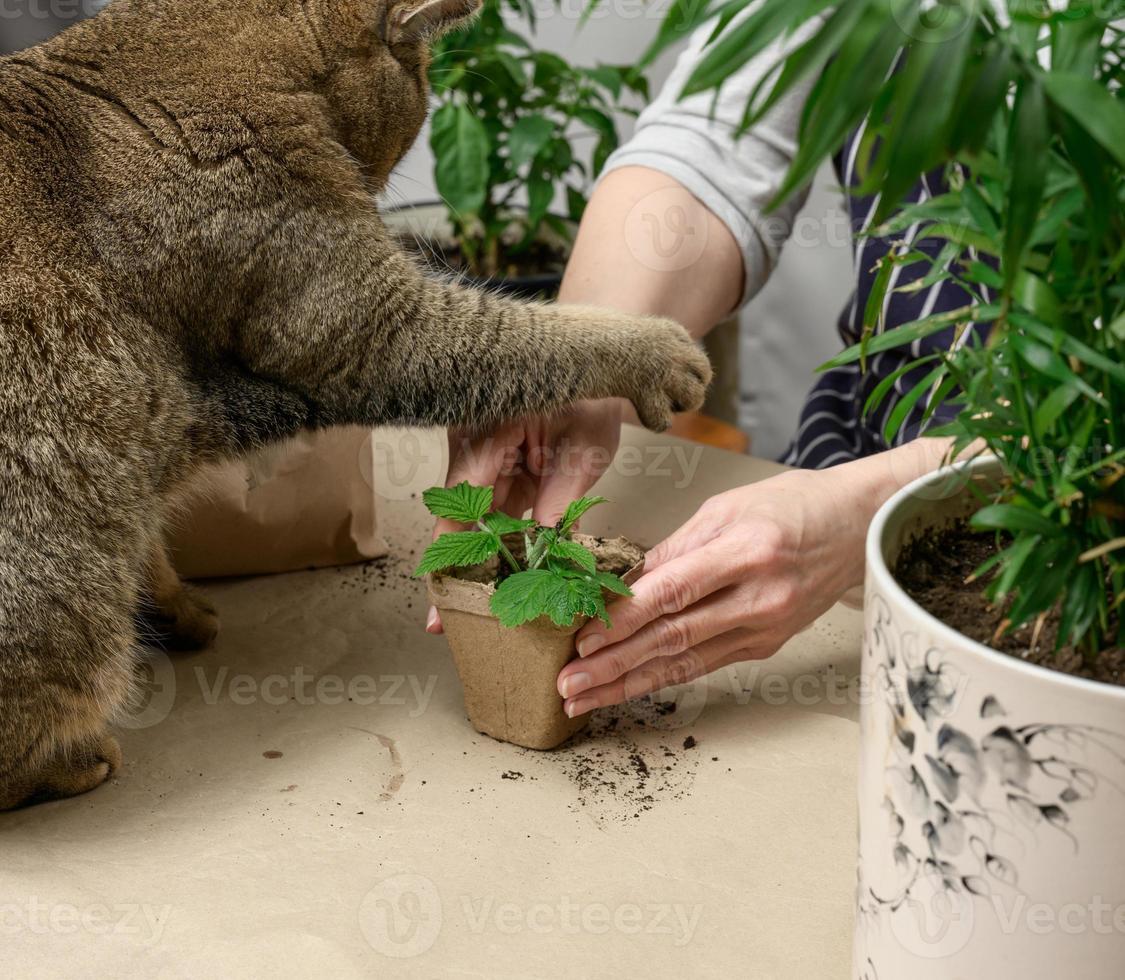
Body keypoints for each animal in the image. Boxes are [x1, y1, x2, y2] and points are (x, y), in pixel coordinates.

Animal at [0, 0, 711, 814]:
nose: (380, 184)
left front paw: (175, 607)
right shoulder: (368, 322)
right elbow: (536, 333)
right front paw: (656, 349)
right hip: (74, 568)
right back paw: (72, 761)